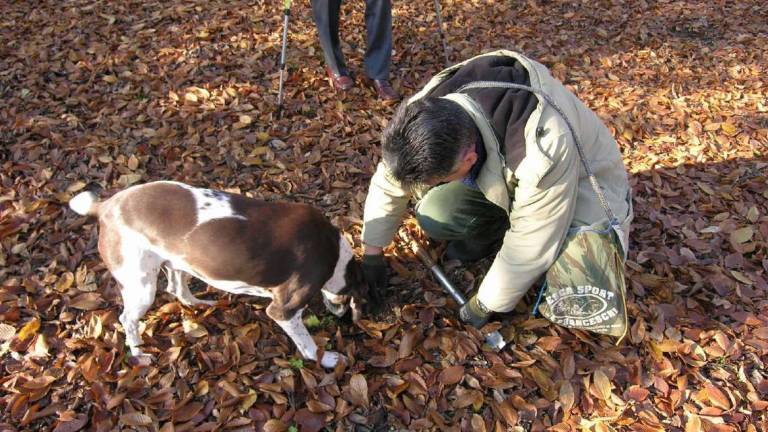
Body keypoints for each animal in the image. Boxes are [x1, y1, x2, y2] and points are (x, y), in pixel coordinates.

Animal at [70, 181, 366, 366]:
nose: (344, 318)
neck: (334, 254)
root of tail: (105, 207)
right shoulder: (284, 310)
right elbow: (307, 344)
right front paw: (327, 359)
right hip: (141, 286)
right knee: (128, 319)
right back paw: (138, 352)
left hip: (179, 262)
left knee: (177, 289)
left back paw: (202, 303)